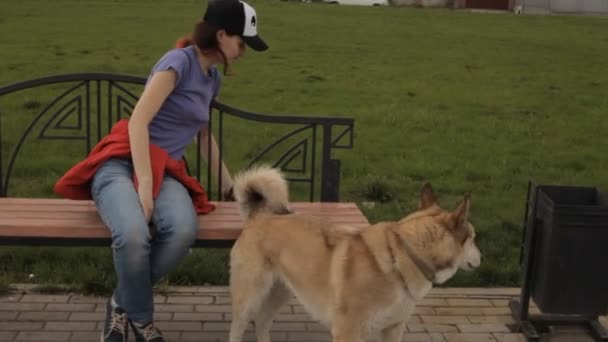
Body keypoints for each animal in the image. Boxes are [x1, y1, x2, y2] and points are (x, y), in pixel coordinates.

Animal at [230, 166, 482, 342]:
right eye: (474, 237)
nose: (482, 257)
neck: (404, 255)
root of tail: (260, 216)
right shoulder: (347, 332)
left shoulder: (393, 329)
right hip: (248, 297)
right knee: (238, 328)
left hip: (281, 291)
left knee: (262, 322)